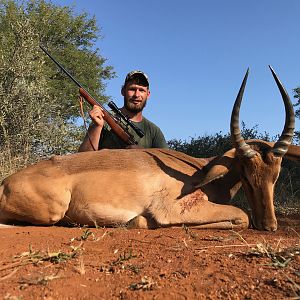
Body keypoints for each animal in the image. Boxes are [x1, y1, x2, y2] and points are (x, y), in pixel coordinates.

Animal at [0, 67, 298, 230]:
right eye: (246, 175)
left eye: (276, 175)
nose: (270, 227)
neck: (198, 170)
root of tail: (6, 182)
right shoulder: (173, 210)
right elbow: (242, 215)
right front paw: (138, 222)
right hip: (53, 210)